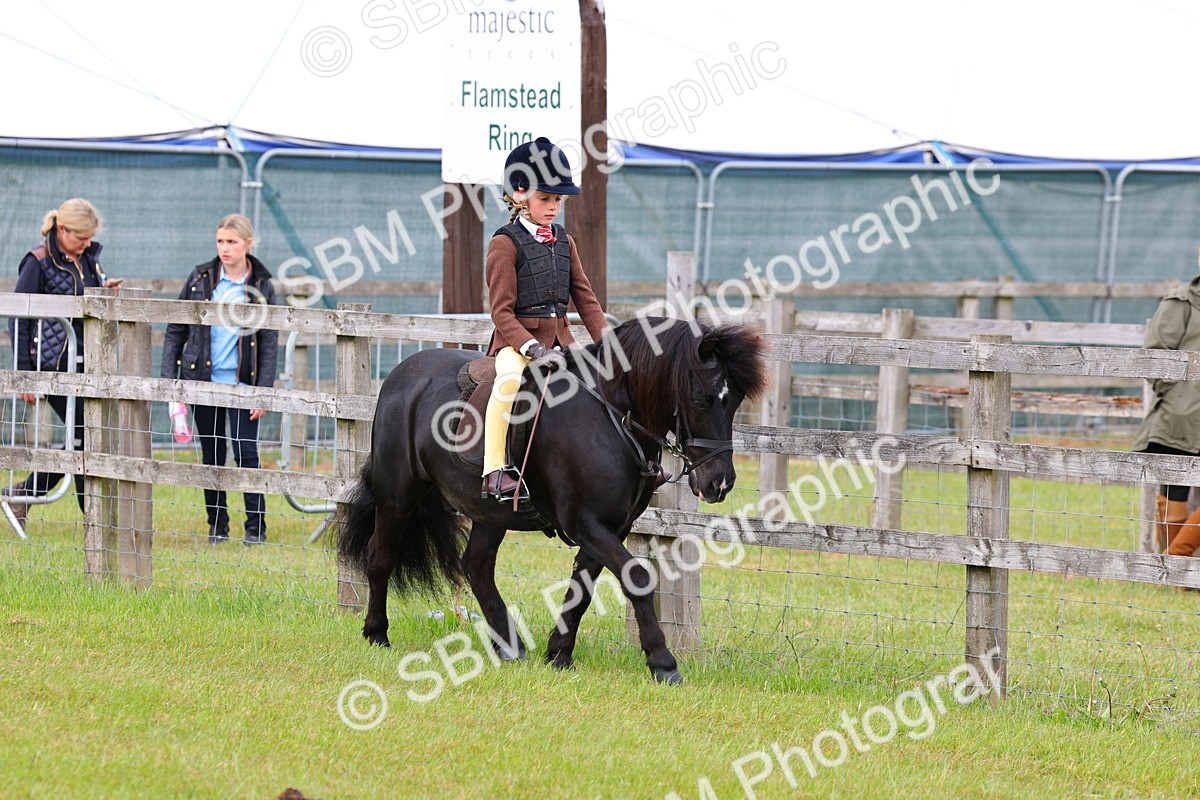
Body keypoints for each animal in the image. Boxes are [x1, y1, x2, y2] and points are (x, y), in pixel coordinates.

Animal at [338, 316, 767, 684]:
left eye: (735, 401)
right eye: (700, 400)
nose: (719, 483)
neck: (611, 418)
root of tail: (402, 374)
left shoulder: (612, 527)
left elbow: (581, 589)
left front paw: (559, 653)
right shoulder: (586, 523)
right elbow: (637, 577)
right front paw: (663, 662)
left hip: (489, 511)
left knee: (476, 566)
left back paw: (509, 646)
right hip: (398, 494)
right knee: (380, 556)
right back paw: (377, 633)